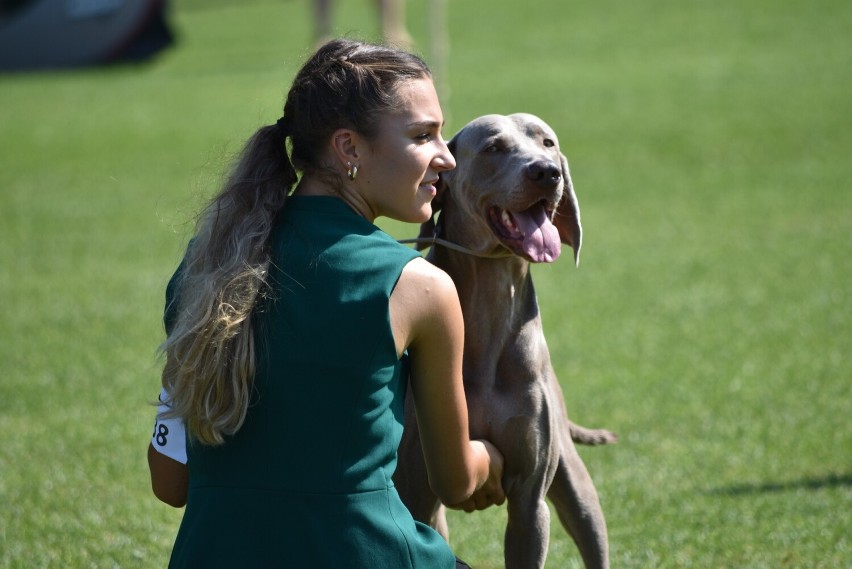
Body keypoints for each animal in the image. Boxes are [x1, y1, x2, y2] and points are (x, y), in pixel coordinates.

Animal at [396, 112, 616, 568]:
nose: (546, 173)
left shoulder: (529, 502)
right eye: (494, 147)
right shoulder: (417, 491)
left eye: (548, 142)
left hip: (575, 484)